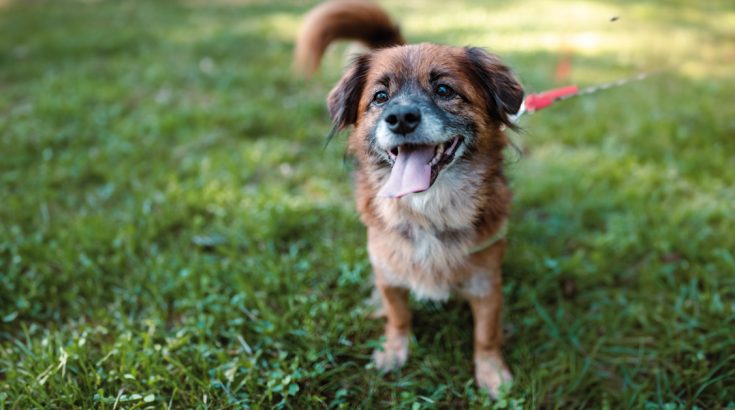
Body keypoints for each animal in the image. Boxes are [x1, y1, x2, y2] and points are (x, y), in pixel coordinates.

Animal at [294, 0, 524, 398]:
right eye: (380, 97)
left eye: (444, 89)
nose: (400, 117)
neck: (427, 210)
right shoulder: (388, 272)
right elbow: (398, 317)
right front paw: (393, 352)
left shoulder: (486, 283)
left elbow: (485, 335)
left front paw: (492, 373)